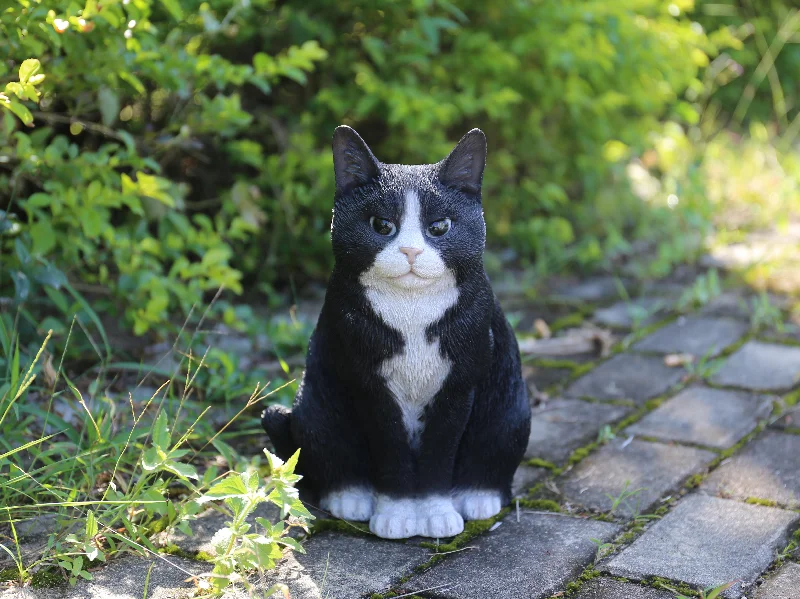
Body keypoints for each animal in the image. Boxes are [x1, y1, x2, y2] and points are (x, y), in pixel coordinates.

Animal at [262, 125, 536, 540]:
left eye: (439, 227)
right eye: (381, 225)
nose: (410, 251)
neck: (411, 311)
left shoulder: (459, 383)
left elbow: (440, 452)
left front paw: (436, 513)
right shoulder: (367, 382)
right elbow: (389, 447)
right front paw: (396, 514)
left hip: (511, 412)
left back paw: (478, 496)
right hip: (307, 408)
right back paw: (351, 497)